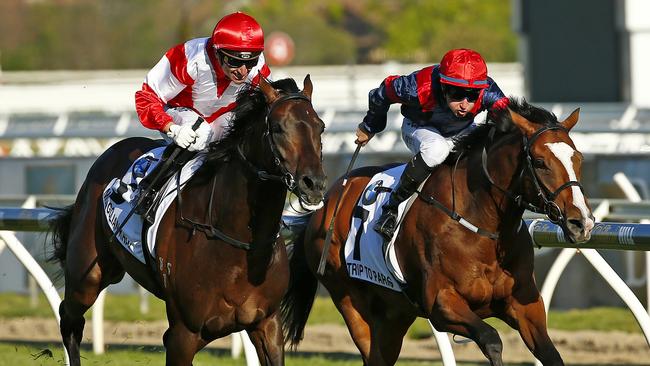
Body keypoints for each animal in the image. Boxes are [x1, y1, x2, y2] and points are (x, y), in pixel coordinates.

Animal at [46, 76, 324, 364]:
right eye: (278, 128)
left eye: (320, 127)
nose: (314, 183)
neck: (237, 239)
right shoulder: (183, 334)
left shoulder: (267, 323)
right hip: (87, 275)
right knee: (69, 318)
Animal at [278, 98, 592, 366]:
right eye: (540, 162)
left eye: (578, 158)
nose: (582, 223)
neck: (483, 226)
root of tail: (326, 204)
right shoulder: (441, 304)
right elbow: (491, 339)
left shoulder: (525, 304)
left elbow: (551, 354)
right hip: (348, 299)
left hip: (394, 313)